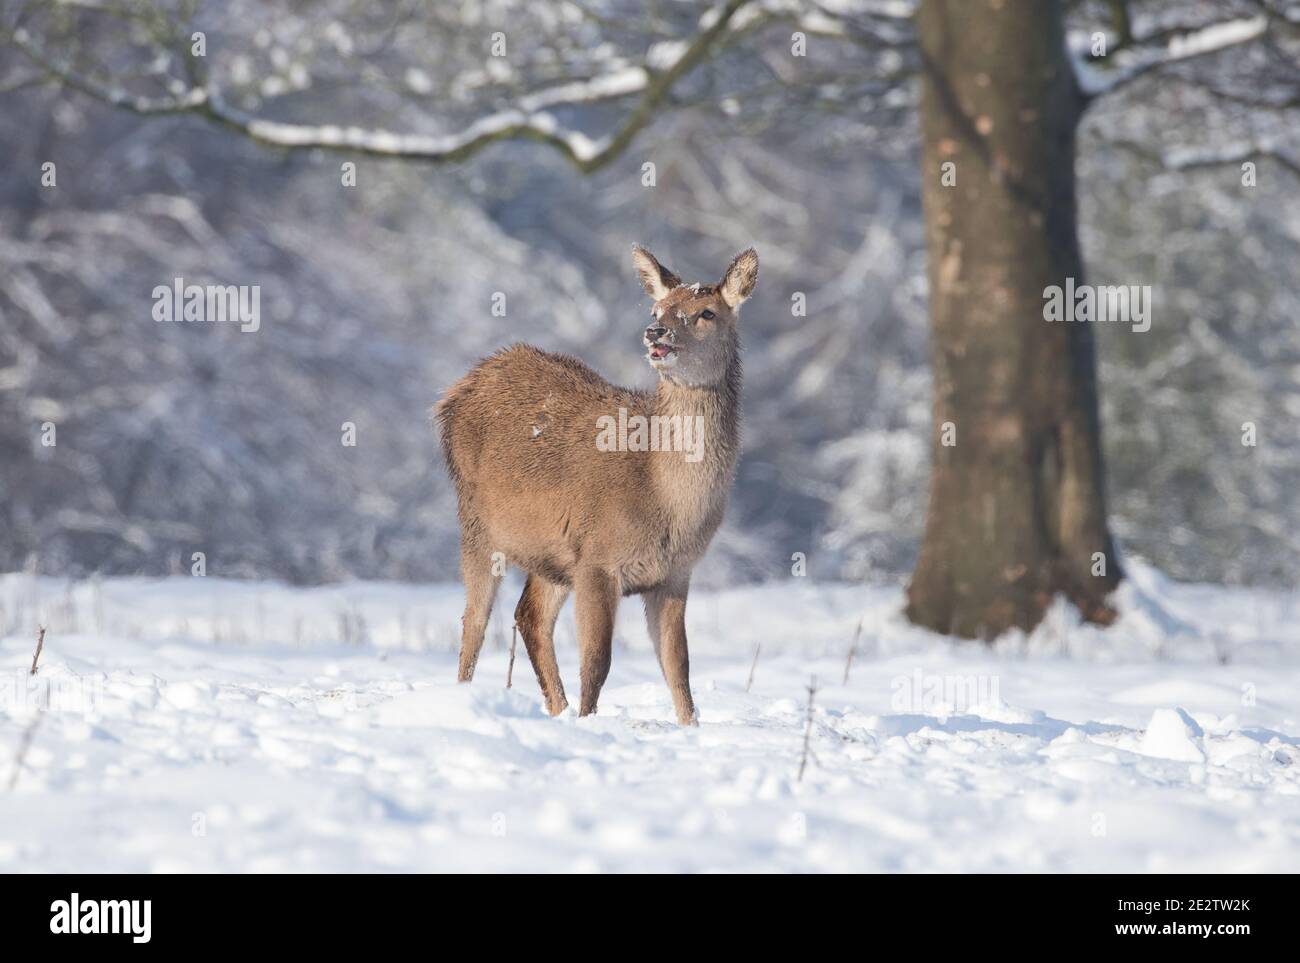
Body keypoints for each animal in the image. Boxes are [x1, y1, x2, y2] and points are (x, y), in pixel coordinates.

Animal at [439, 244, 759, 722]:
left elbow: (678, 665)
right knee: (474, 619)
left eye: (706, 312)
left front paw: (690, 727)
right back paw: (467, 696)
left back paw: (555, 708)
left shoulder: (674, 573)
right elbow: (597, 662)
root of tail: (455, 392)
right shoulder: (597, 559)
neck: (665, 499)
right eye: (656, 308)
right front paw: (588, 721)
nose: (656, 333)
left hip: (551, 552)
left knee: (529, 615)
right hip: (477, 519)